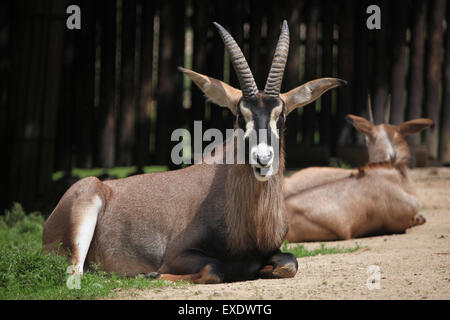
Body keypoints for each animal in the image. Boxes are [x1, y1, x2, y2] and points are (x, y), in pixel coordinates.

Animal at [42, 21, 344, 284]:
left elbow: (289, 263)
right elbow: (214, 269)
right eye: (240, 116)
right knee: (77, 273)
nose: (262, 160)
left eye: (280, 116)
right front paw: (153, 274)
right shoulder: (178, 254)